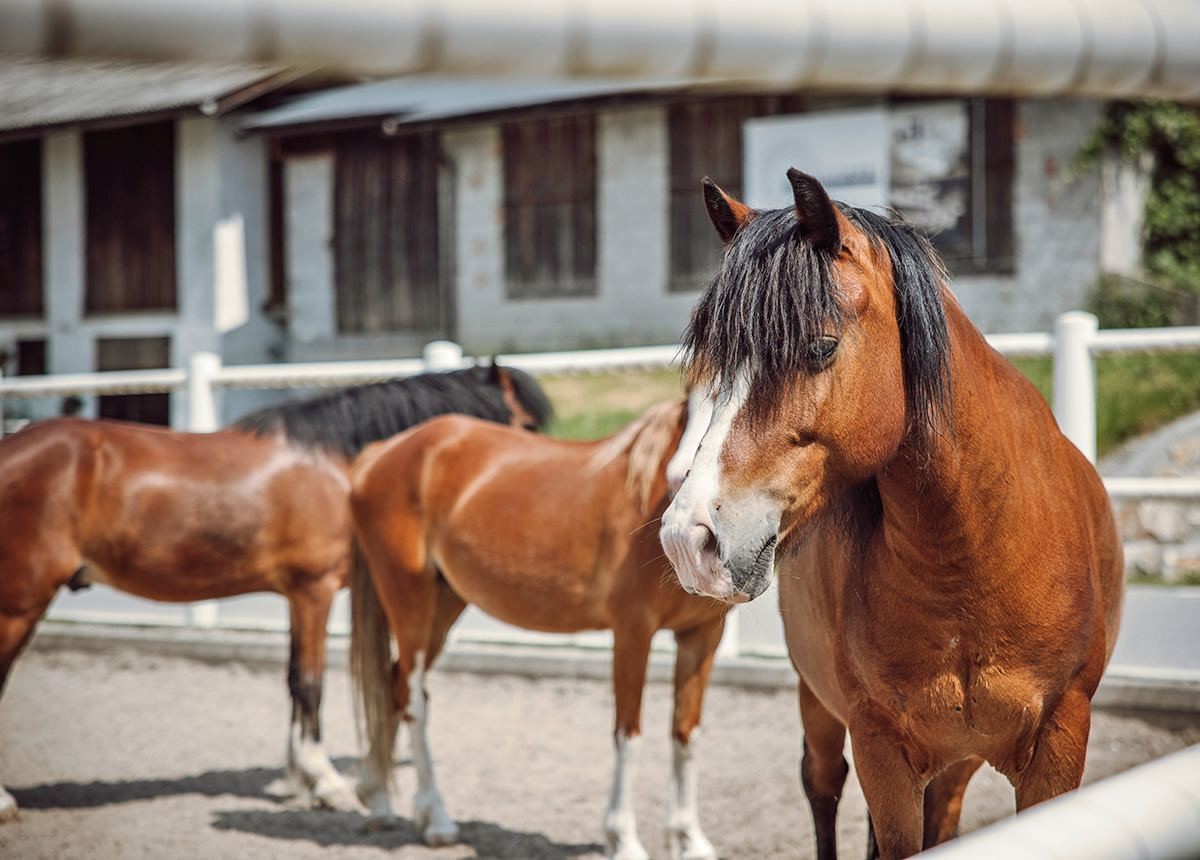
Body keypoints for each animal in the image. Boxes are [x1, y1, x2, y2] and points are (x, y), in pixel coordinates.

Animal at [0, 362, 552, 821]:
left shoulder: (294, 595)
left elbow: (291, 679)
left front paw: (298, 780)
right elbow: (310, 683)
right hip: (20, 604)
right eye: (527, 426)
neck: (339, 465)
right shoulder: (314, 590)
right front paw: (327, 782)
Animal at [348, 399, 728, 860]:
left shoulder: (702, 637)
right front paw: (623, 839)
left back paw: (380, 800)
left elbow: (686, 735)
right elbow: (629, 734)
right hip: (410, 604)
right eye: (691, 398)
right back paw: (435, 819)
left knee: (395, 686)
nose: (679, 478)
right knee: (414, 702)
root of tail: (382, 453)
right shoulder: (632, 632)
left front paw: (690, 839)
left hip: (443, 607)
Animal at [660, 170, 1123, 859]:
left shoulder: (1059, 742)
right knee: (822, 788)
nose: (689, 540)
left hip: (955, 762)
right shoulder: (881, 748)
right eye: (717, 364)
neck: (972, 558)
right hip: (822, 709)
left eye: (820, 346)